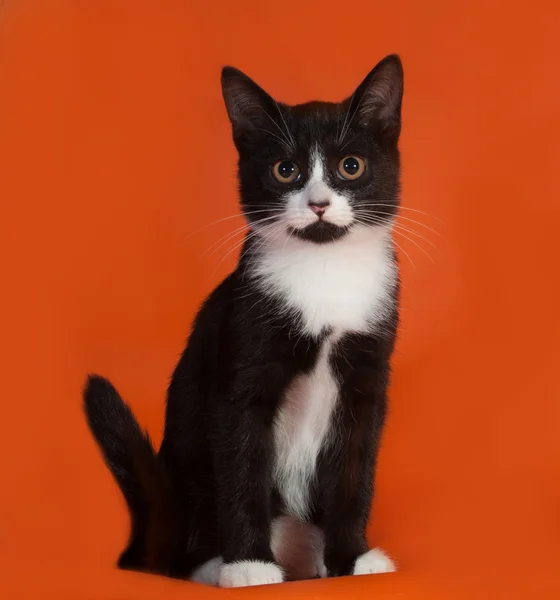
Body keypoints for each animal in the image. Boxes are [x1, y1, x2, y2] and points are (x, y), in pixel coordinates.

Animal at [84, 54, 402, 588]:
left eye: (351, 167)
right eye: (285, 170)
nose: (318, 203)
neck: (323, 273)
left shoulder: (366, 376)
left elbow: (355, 469)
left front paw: (353, 557)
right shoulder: (241, 363)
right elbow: (242, 464)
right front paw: (250, 565)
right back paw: (215, 563)